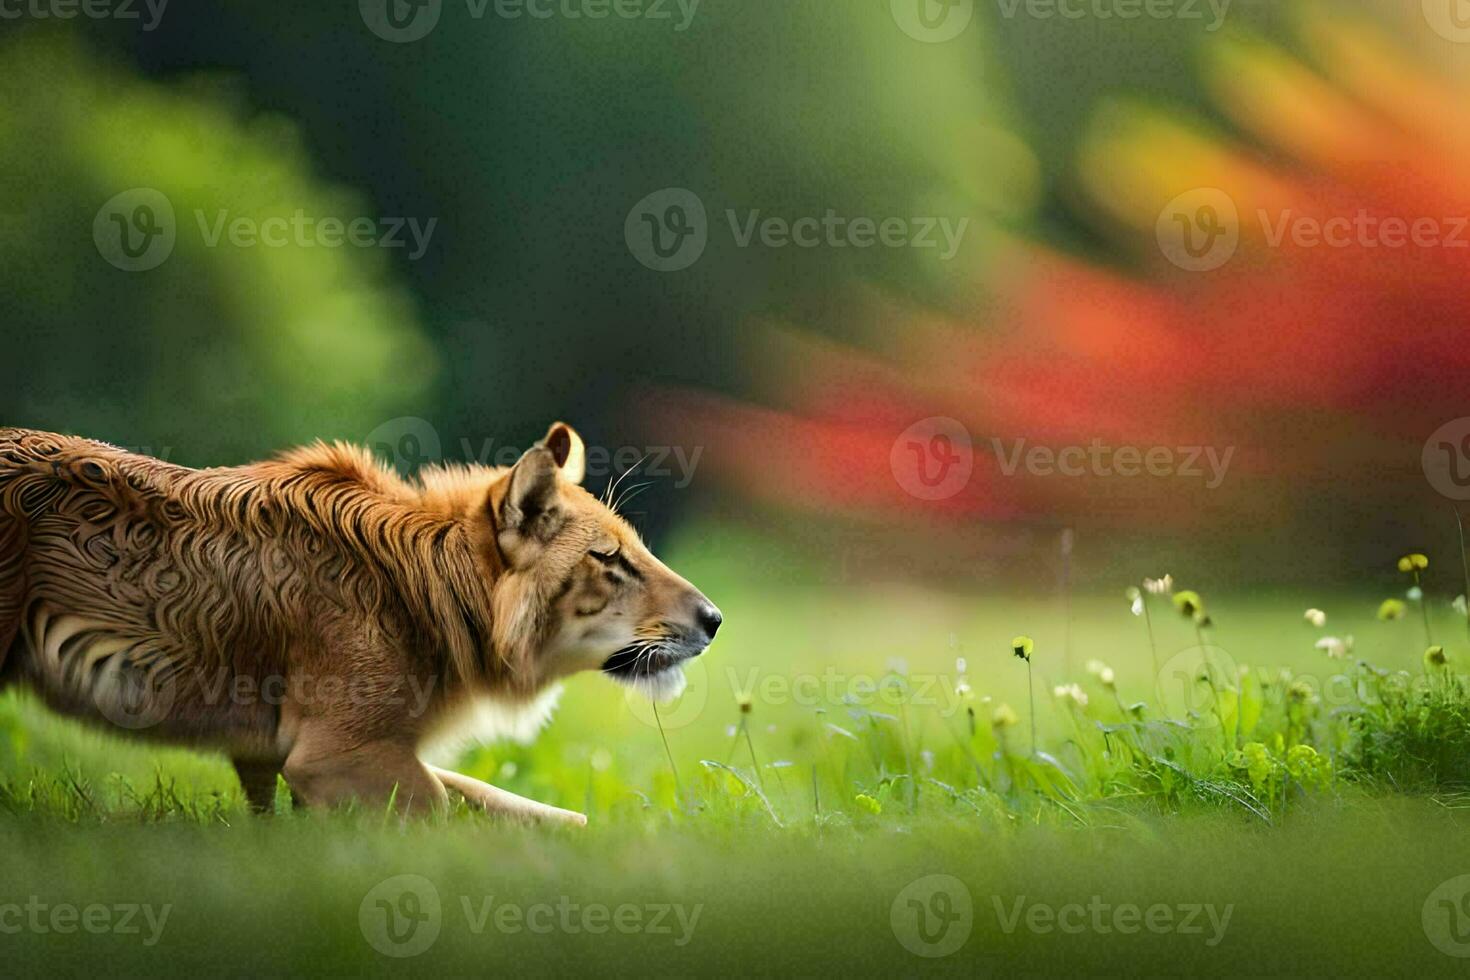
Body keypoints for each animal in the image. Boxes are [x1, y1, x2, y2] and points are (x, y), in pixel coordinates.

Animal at [0, 423, 717, 828]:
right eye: (609, 559)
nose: (714, 619)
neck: (428, 588)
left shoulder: (297, 755)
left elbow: (544, 812)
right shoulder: (333, 756)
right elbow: (447, 809)